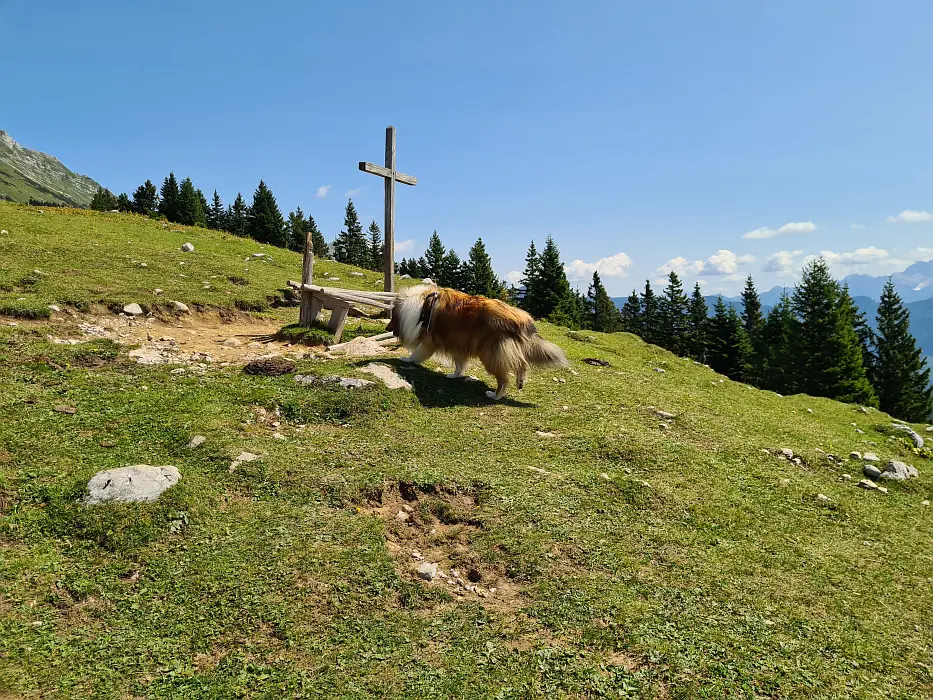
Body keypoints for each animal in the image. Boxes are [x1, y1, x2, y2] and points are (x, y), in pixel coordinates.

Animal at [386, 284, 568, 402]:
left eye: (392, 317)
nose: (387, 328)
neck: (422, 307)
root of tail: (520, 318)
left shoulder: (428, 341)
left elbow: (417, 353)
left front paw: (406, 359)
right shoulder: (458, 344)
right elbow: (459, 364)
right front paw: (455, 375)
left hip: (491, 355)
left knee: (504, 379)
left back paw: (495, 395)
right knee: (521, 363)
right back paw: (520, 382)